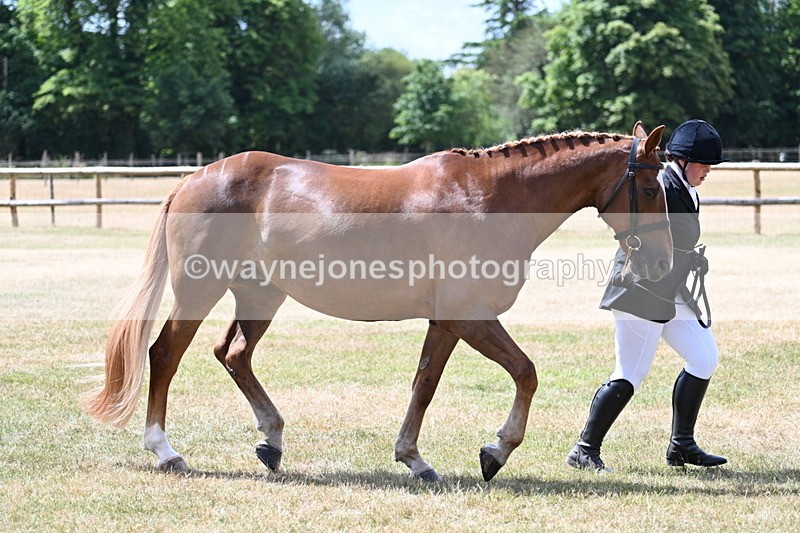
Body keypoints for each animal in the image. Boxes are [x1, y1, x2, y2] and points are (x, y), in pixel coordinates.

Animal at [85, 122, 671, 482]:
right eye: (654, 189)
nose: (664, 262)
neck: (490, 199)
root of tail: (194, 179)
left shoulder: (447, 321)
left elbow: (424, 384)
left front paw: (415, 459)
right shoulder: (470, 316)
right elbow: (525, 372)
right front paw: (495, 451)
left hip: (260, 294)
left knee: (233, 355)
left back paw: (272, 441)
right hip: (200, 289)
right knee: (165, 355)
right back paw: (165, 450)